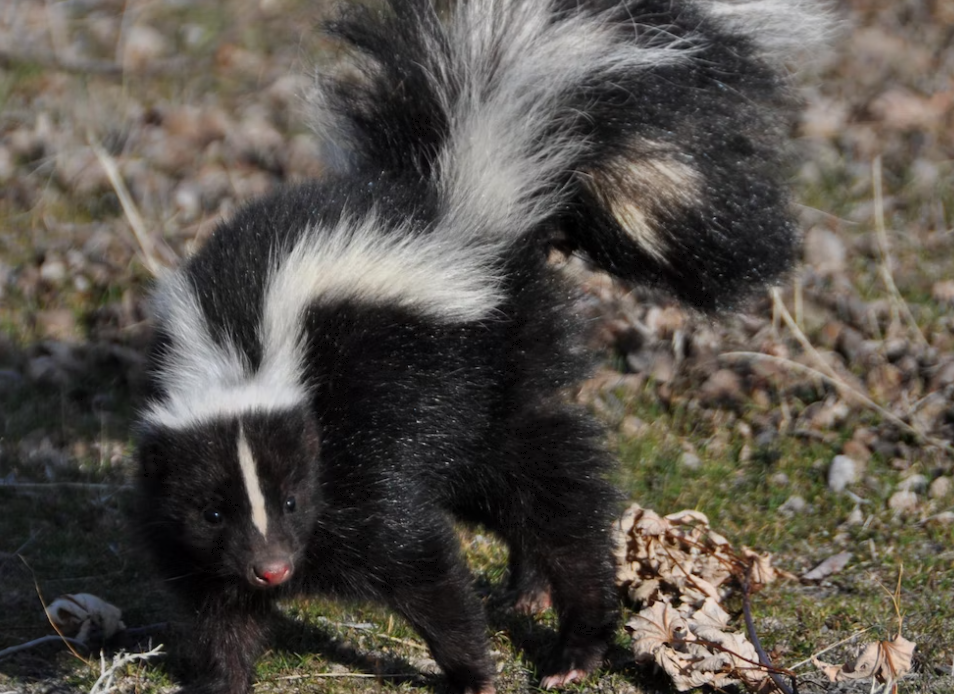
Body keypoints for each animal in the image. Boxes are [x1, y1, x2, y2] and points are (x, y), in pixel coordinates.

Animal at [136, 0, 824, 692]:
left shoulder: (362, 452)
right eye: (212, 513)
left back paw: (576, 643)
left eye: (292, 498)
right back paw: (530, 591)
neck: (243, 353)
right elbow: (218, 609)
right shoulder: (192, 531)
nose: (272, 568)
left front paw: (473, 673)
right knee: (516, 491)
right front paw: (223, 674)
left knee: (554, 497)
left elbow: (419, 562)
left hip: (487, 379)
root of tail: (471, 208)